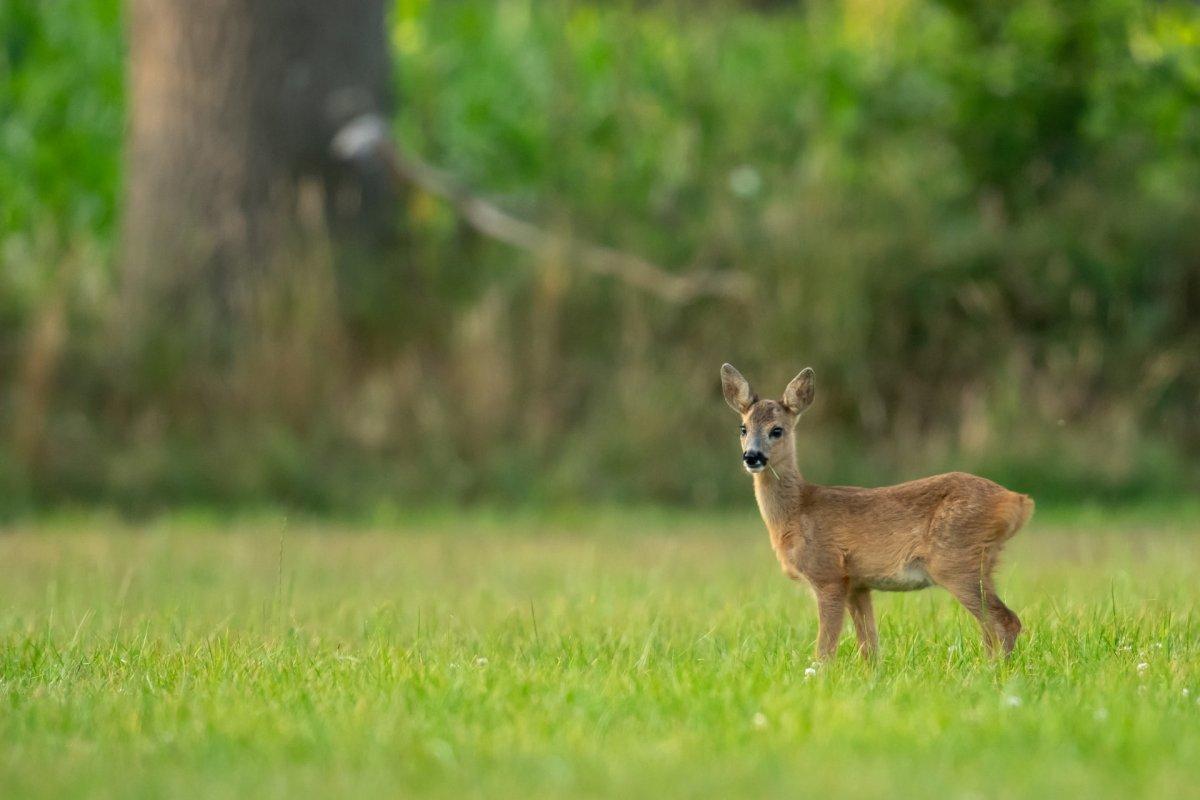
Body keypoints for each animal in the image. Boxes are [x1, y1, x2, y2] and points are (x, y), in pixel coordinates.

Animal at [715, 367, 1036, 662]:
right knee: (991, 628)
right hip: (981, 562)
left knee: (1006, 621)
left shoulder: (828, 573)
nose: (752, 457)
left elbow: (825, 650)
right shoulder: (858, 584)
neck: (798, 511)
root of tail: (1018, 500)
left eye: (777, 430)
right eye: (743, 428)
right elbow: (869, 649)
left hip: (956, 561)